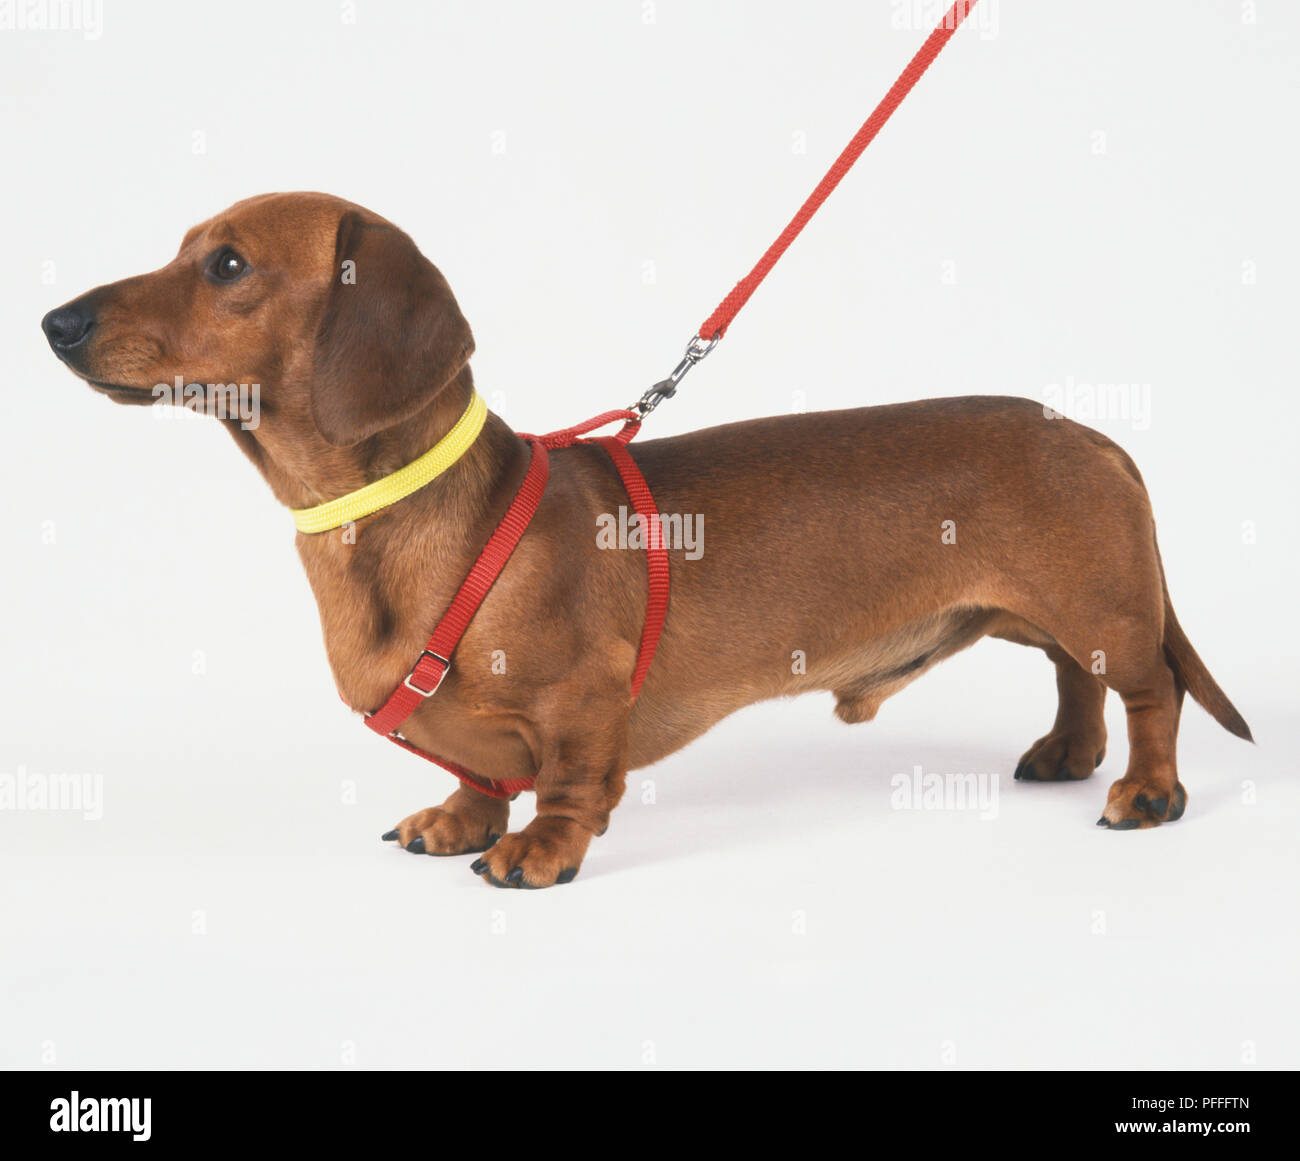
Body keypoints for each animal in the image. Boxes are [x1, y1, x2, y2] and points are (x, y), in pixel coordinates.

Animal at [40, 192, 1248, 889]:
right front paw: (460, 818)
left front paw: (538, 849)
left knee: (1149, 691)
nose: (55, 322)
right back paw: (1066, 754)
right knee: (1077, 679)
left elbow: (570, 784)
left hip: (1097, 605)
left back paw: (1144, 790)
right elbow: (474, 771)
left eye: (227, 265)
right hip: (1038, 612)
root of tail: (1089, 430)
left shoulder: (584, 697)